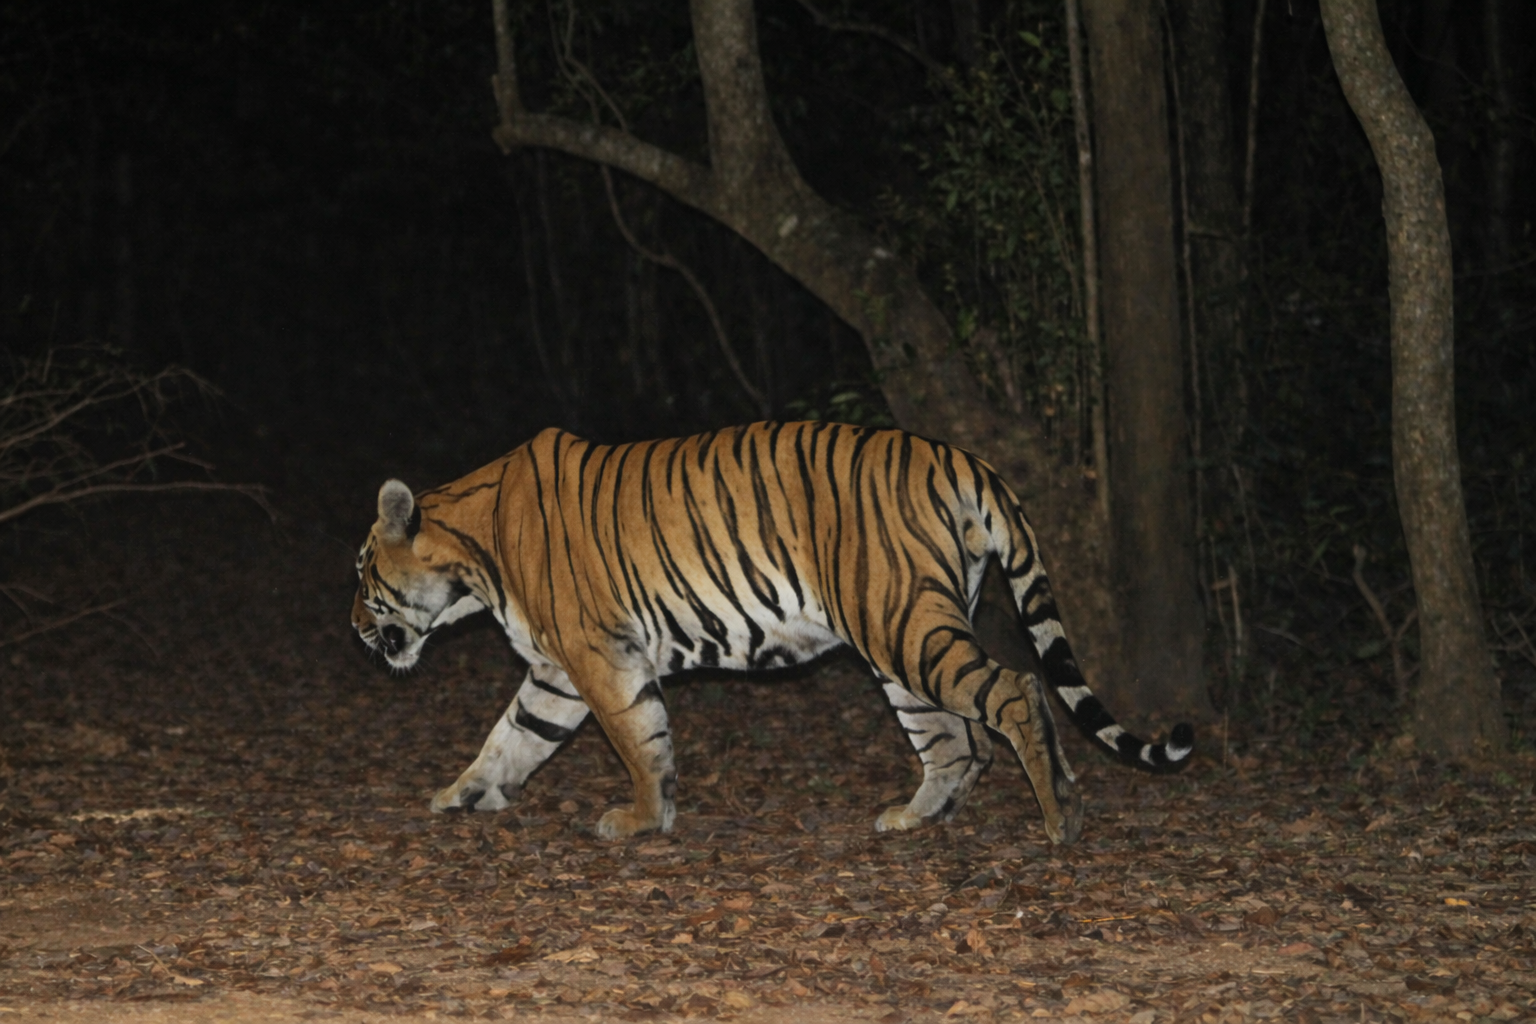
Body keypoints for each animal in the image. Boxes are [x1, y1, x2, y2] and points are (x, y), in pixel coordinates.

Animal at [352, 421, 1193, 844]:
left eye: (363, 573)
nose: (356, 629)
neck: (474, 558)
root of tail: (962, 456)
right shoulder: (557, 672)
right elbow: (512, 736)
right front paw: (462, 794)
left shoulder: (599, 657)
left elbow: (636, 740)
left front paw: (640, 820)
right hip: (900, 638)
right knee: (960, 739)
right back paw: (918, 817)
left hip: (903, 624)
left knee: (1014, 691)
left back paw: (1059, 818)